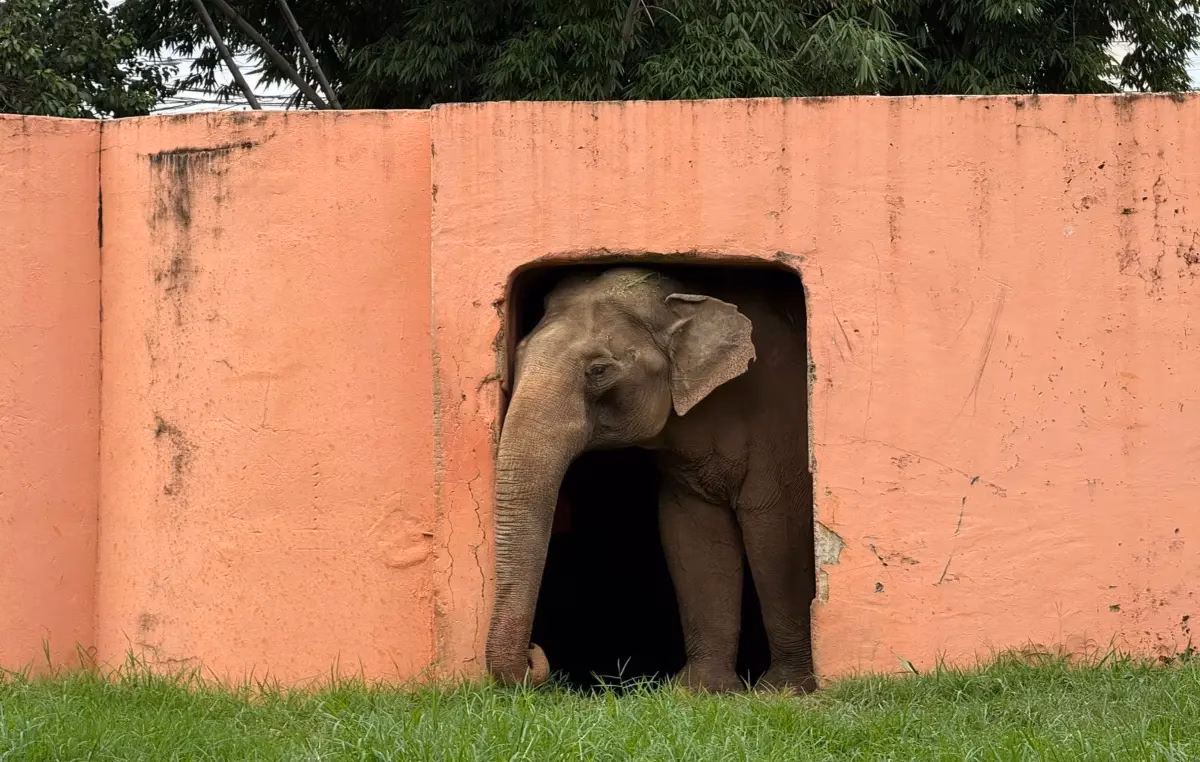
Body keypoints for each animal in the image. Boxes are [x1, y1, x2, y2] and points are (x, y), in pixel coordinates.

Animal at [486, 265, 815, 694]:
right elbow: (692, 535)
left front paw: (782, 691)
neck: (688, 296)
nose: (535, 652)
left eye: (598, 370)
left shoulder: (779, 429)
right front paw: (699, 691)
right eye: (519, 355)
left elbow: (777, 532)